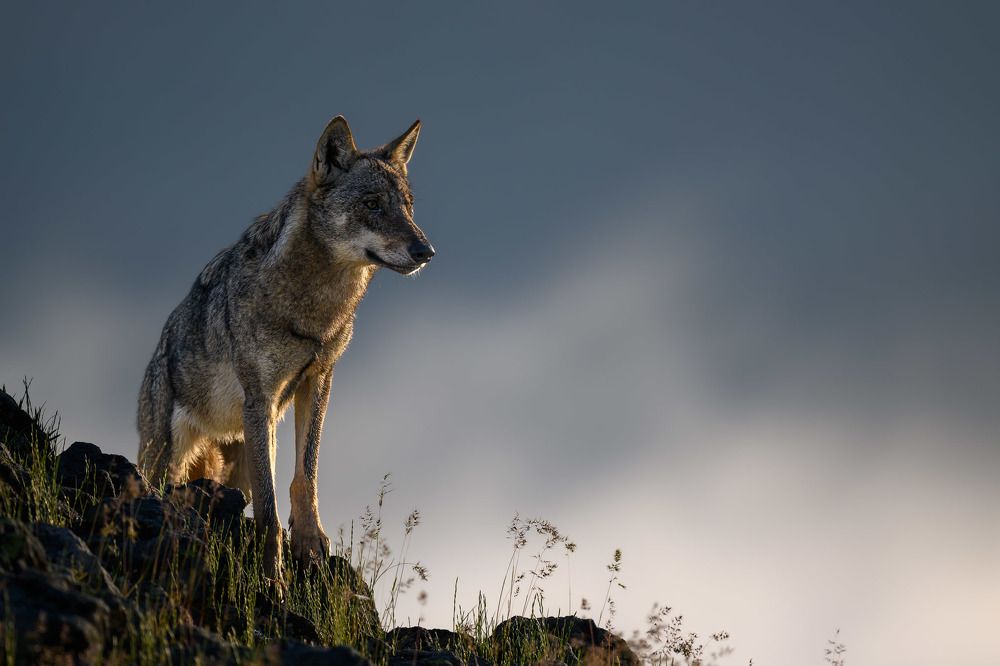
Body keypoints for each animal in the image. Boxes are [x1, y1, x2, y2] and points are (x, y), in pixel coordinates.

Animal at [137, 115, 433, 580]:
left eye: (407, 206)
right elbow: (269, 508)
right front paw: (272, 573)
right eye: (372, 204)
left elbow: (304, 476)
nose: (426, 250)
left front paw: (310, 544)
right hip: (167, 460)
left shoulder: (319, 381)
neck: (314, 309)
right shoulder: (261, 398)